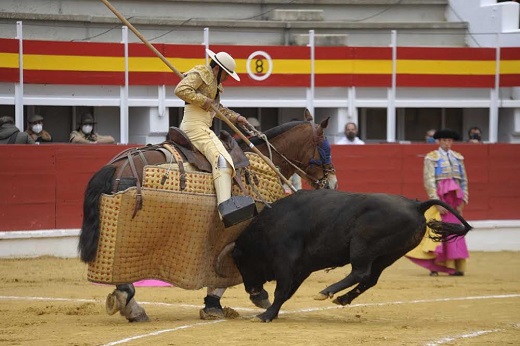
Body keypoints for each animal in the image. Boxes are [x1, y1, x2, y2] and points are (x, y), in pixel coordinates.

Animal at [76, 111, 338, 322]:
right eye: (326, 148)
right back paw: (132, 306)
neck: (263, 162)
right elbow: (232, 266)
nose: (333, 184)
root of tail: (115, 166)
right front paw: (247, 297)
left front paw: (215, 305)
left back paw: (130, 306)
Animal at [228, 189, 472, 322]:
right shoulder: (301, 268)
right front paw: (272, 312)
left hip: (363, 244)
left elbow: (281, 291)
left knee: (360, 272)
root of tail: (417, 205)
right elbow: (287, 292)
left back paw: (327, 292)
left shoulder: (286, 262)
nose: (251, 290)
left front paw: (266, 315)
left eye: (241, 261)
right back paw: (342, 298)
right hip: (388, 255)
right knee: (370, 278)